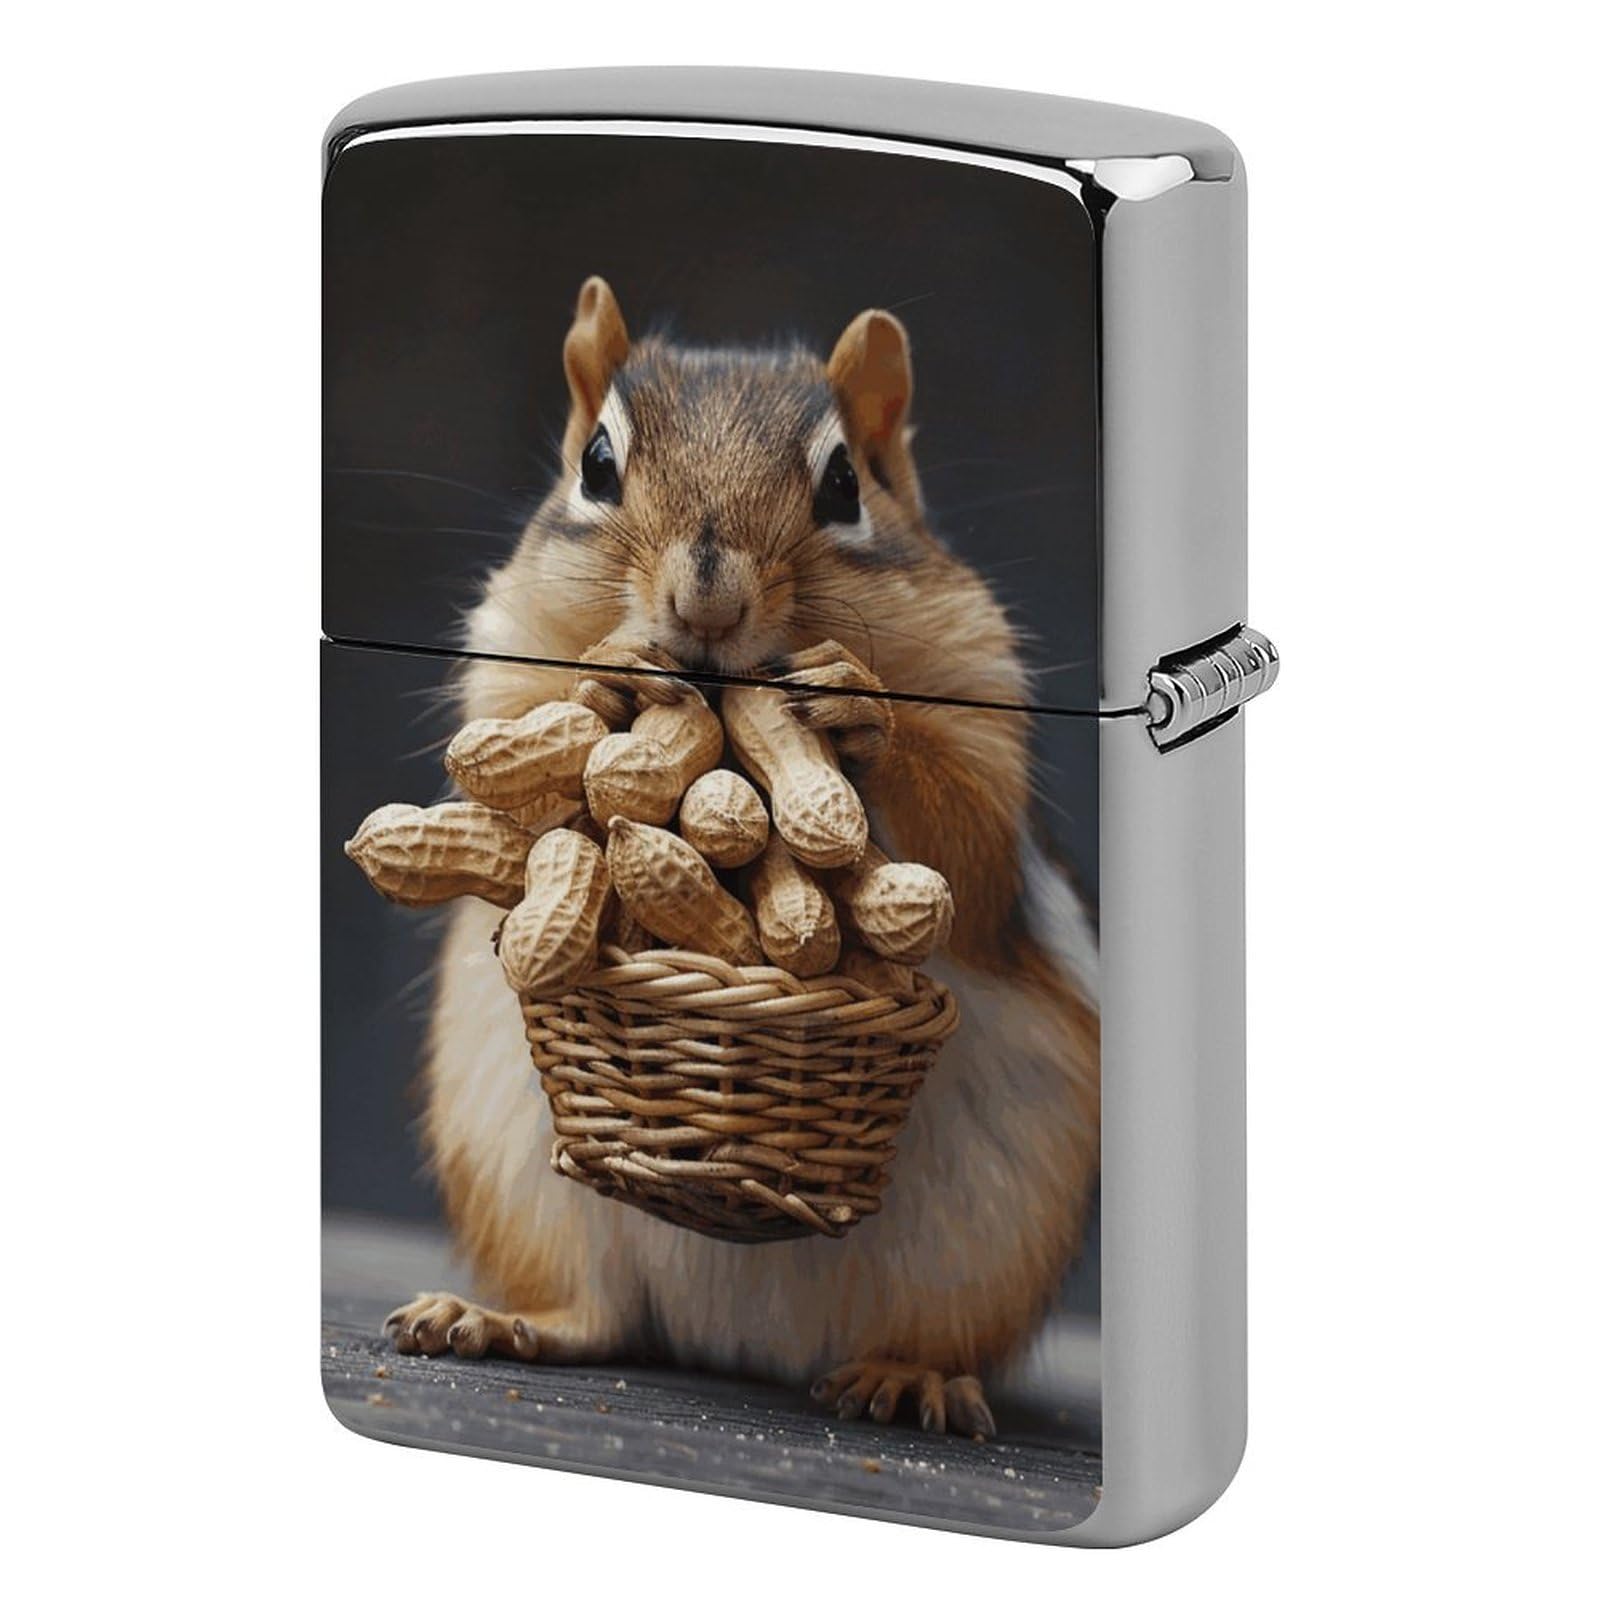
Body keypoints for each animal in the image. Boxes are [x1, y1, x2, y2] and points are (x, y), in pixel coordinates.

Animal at [384, 277, 1101, 1440]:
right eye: (596, 466)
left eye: (847, 483)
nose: (706, 604)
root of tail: (734, 1341)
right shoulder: (503, 658)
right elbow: (520, 741)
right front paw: (610, 674)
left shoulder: (985, 702)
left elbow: (969, 831)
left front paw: (856, 705)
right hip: (520, 1173)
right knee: (597, 1314)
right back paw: (497, 1319)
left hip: (998, 1226)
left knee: (928, 1337)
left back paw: (908, 1378)